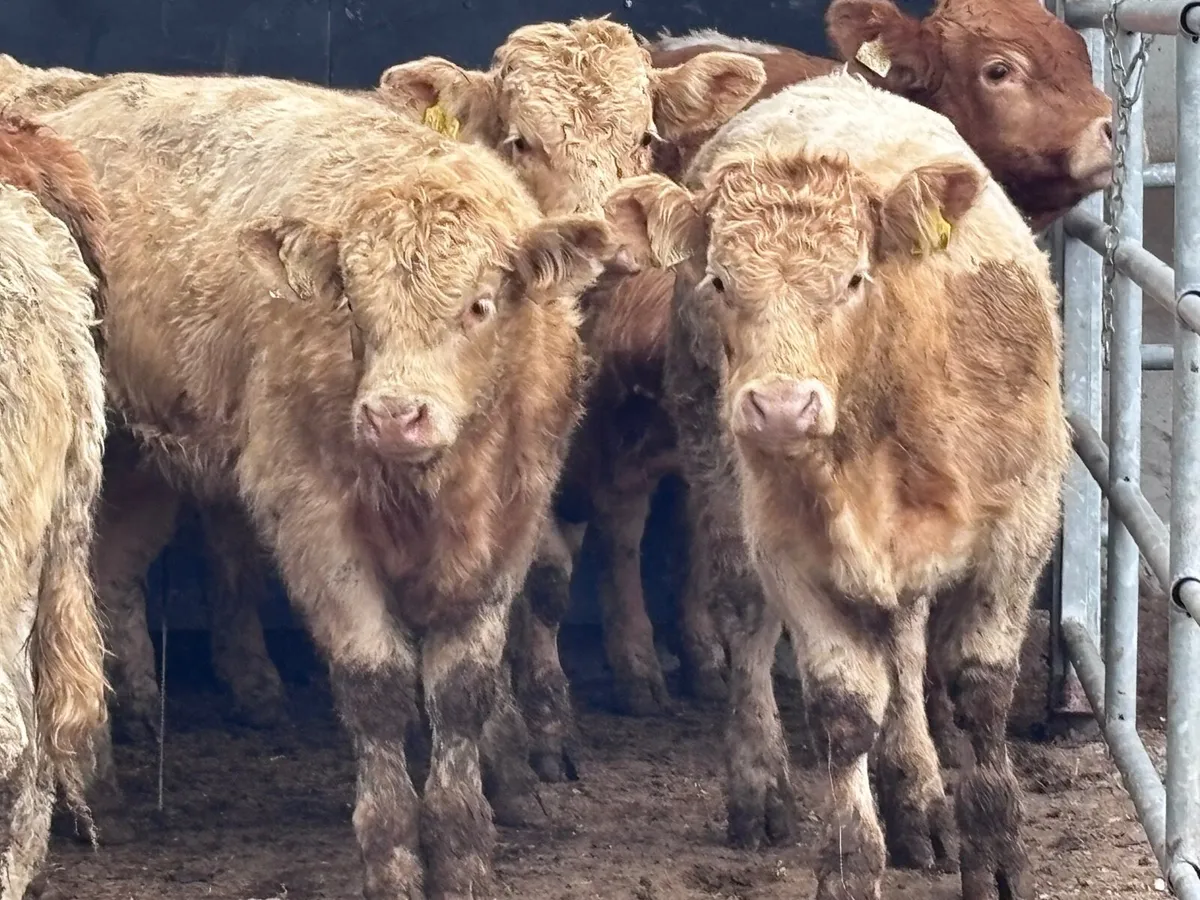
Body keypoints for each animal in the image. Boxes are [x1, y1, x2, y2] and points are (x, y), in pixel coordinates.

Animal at [29, 71, 614, 897]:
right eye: (354, 307)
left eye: (479, 304)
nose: (394, 415)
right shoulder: (312, 517)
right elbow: (375, 685)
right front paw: (393, 854)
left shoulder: (510, 521)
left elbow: (463, 688)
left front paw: (466, 847)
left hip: (142, 470)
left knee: (107, 585)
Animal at [604, 70, 1070, 900]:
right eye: (719, 280)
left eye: (855, 278)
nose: (782, 406)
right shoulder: (796, 554)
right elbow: (844, 708)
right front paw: (851, 860)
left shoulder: (1020, 530)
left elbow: (980, 689)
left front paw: (996, 851)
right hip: (718, 475)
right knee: (748, 618)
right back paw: (764, 781)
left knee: (909, 652)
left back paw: (918, 794)